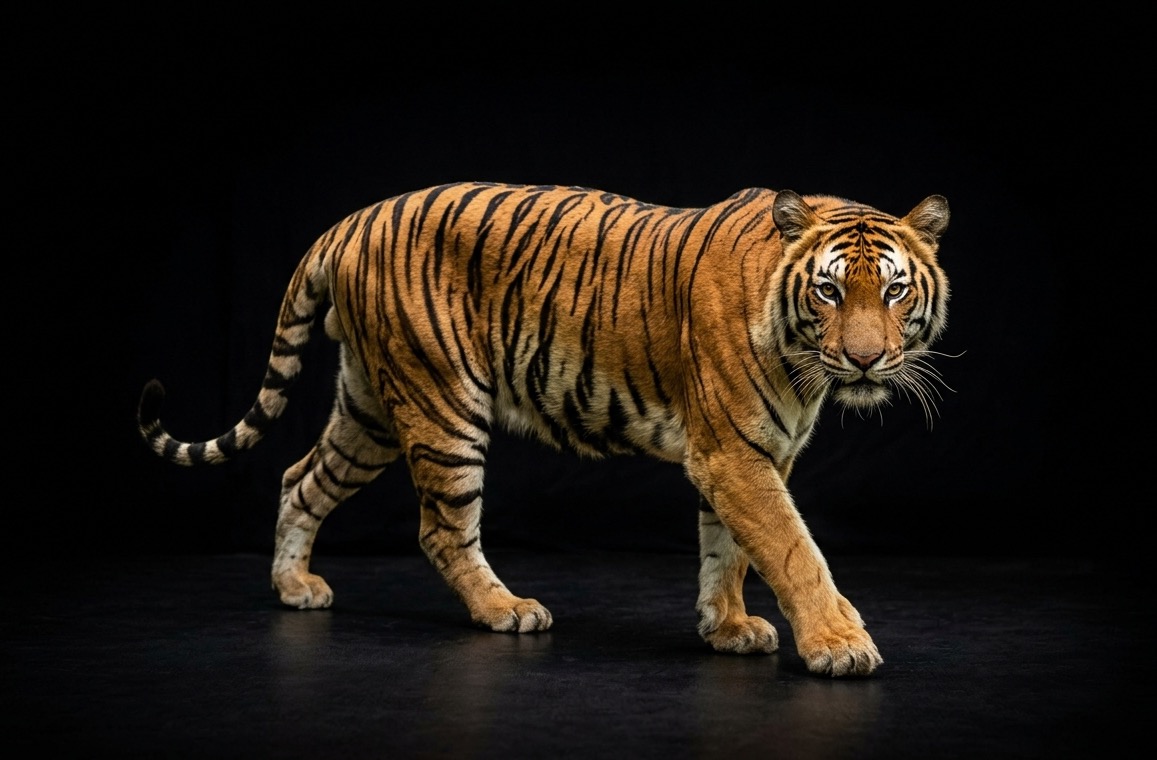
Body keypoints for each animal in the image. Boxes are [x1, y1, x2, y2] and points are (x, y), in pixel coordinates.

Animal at [137, 181, 951, 678]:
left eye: (894, 291)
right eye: (829, 291)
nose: (865, 359)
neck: (797, 350)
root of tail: (352, 219)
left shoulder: (752, 456)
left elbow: (729, 552)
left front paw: (727, 628)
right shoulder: (733, 453)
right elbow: (792, 550)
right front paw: (839, 645)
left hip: (370, 406)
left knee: (300, 478)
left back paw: (294, 588)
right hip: (443, 403)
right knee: (441, 529)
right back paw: (506, 610)